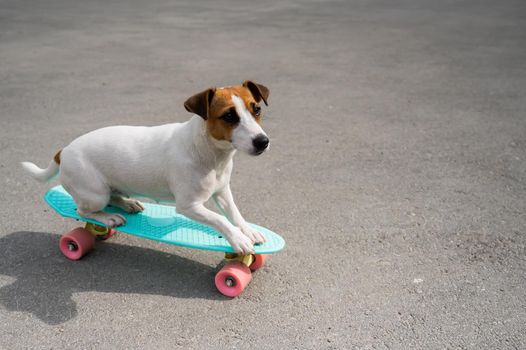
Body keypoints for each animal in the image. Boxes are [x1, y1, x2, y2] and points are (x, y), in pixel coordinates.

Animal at [22, 80, 272, 253]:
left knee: (114, 196)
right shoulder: (188, 206)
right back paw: (107, 217)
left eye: (257, 109)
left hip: (108, 188)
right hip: (95, 194)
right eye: (229, 116)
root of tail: (64, 150)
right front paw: (238, 239)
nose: (263, 142)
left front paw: (248, 231)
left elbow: (234, 214)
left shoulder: (222, 192)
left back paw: (128, 203)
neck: (210, 152)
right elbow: (220, 219)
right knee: (83, 210)